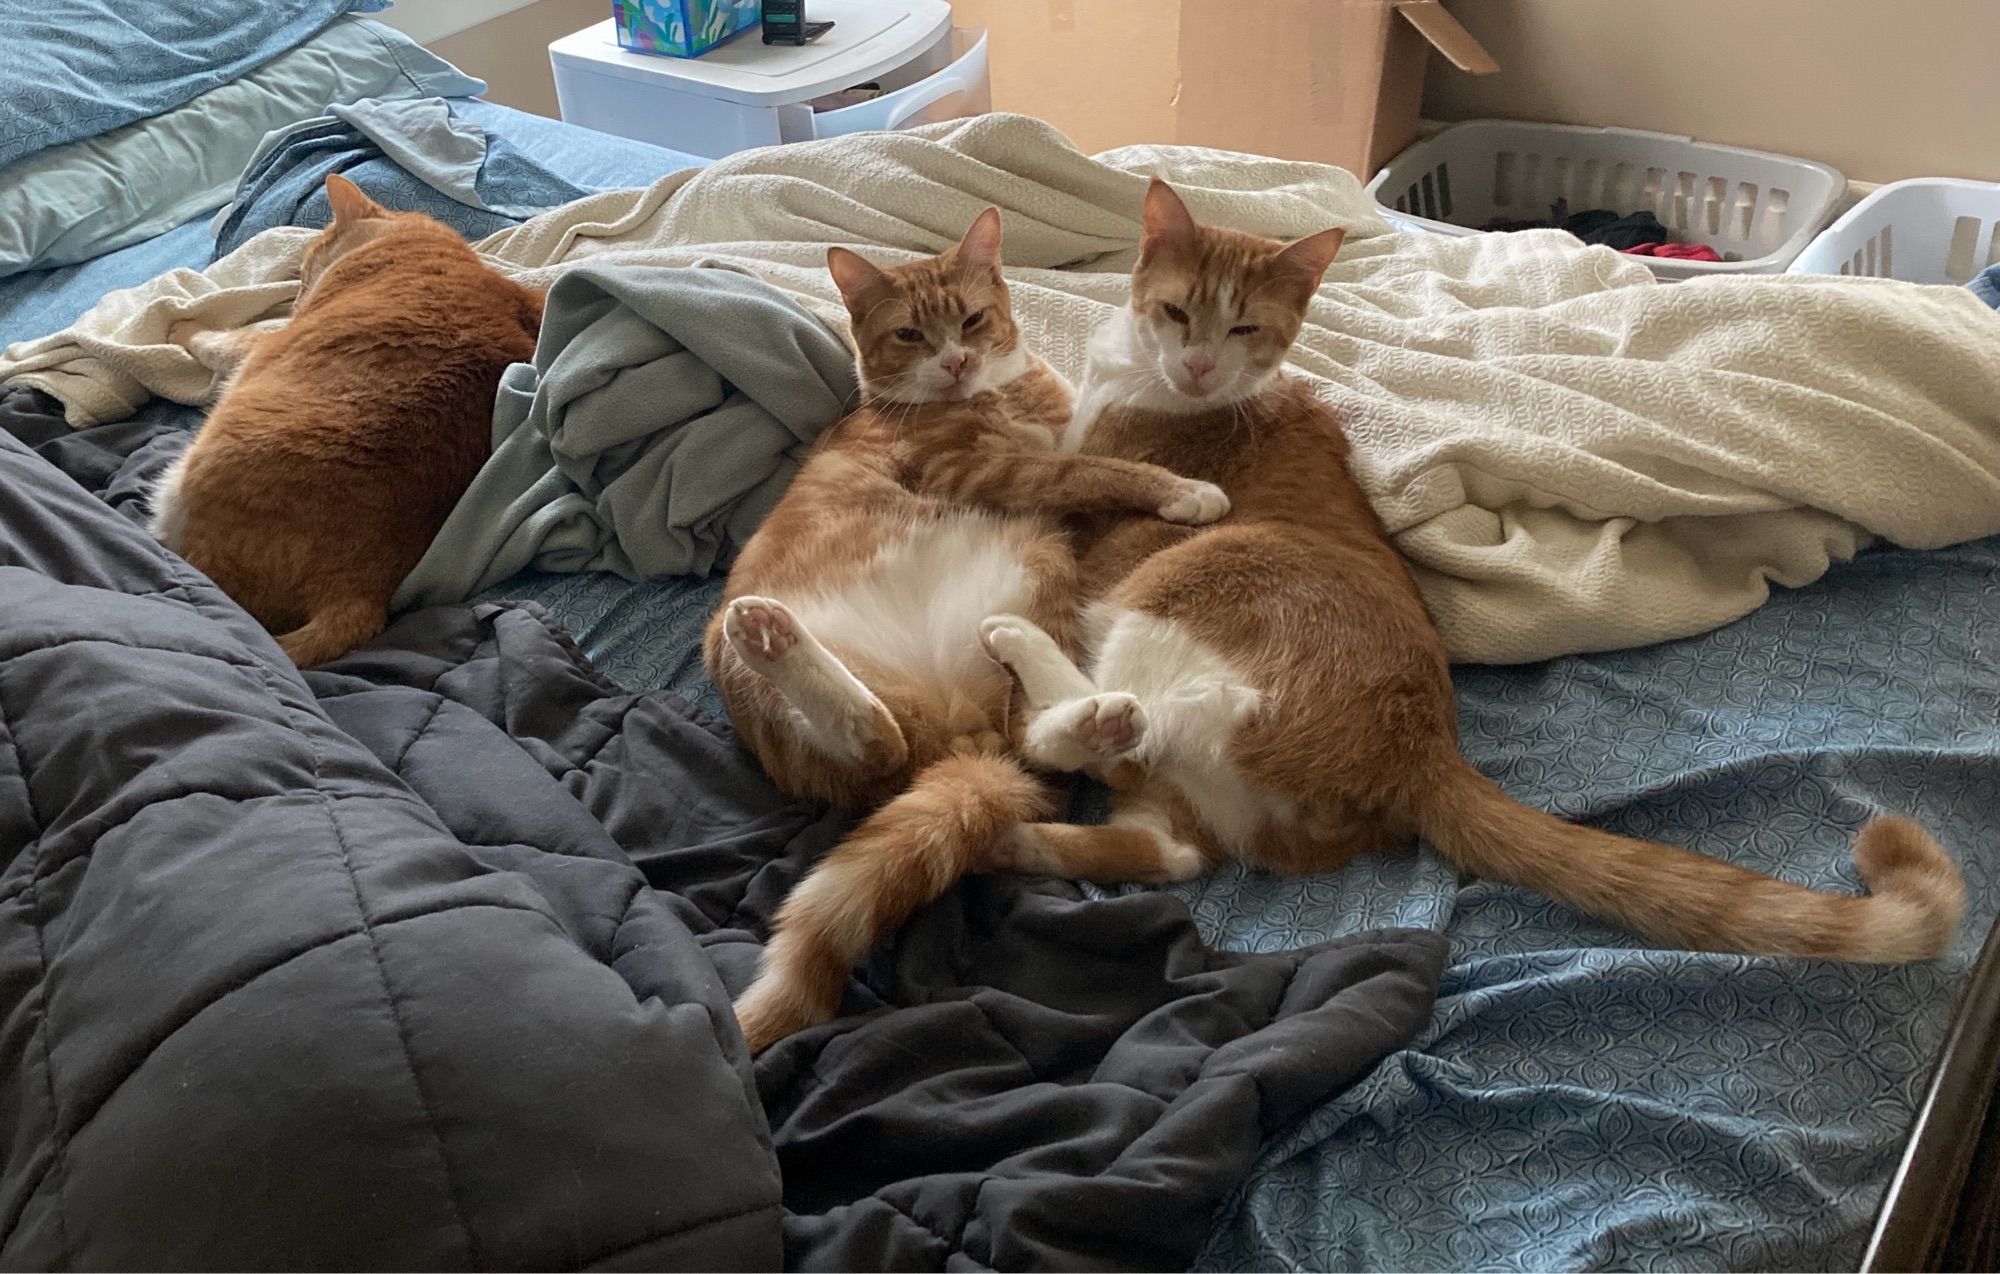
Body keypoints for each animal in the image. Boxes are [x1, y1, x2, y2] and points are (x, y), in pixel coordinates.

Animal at [150, 174, 540, 664]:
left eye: (303, 274)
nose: (298, 295)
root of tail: (360, 592)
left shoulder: (260, 344)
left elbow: (215, 339)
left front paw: (176, 327)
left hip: (182, 477)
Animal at [712, 209, 1224, 1048]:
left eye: (972, 321)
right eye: (911, 334)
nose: (954, 362)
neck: (998, 393)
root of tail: (948, 731)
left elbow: (1084, 455)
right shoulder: (984, 471)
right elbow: (1089, 470)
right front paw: (1184, 489)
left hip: (1041, 572)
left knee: (1025, 747)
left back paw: (1094, 721)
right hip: (738, 660)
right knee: (878, 743)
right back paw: (775, 642)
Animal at [976, 181, 1960, 964]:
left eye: (1245, 326)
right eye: (1180, 314)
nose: (1197, 363)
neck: (1178, 389)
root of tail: (1425, 754)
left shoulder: (1102, 468)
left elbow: (1081, 468)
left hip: (1183, 597)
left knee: (1108, 724)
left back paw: (1027, 656)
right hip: (1189, 796)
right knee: (1164, 844)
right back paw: (1016, 844)